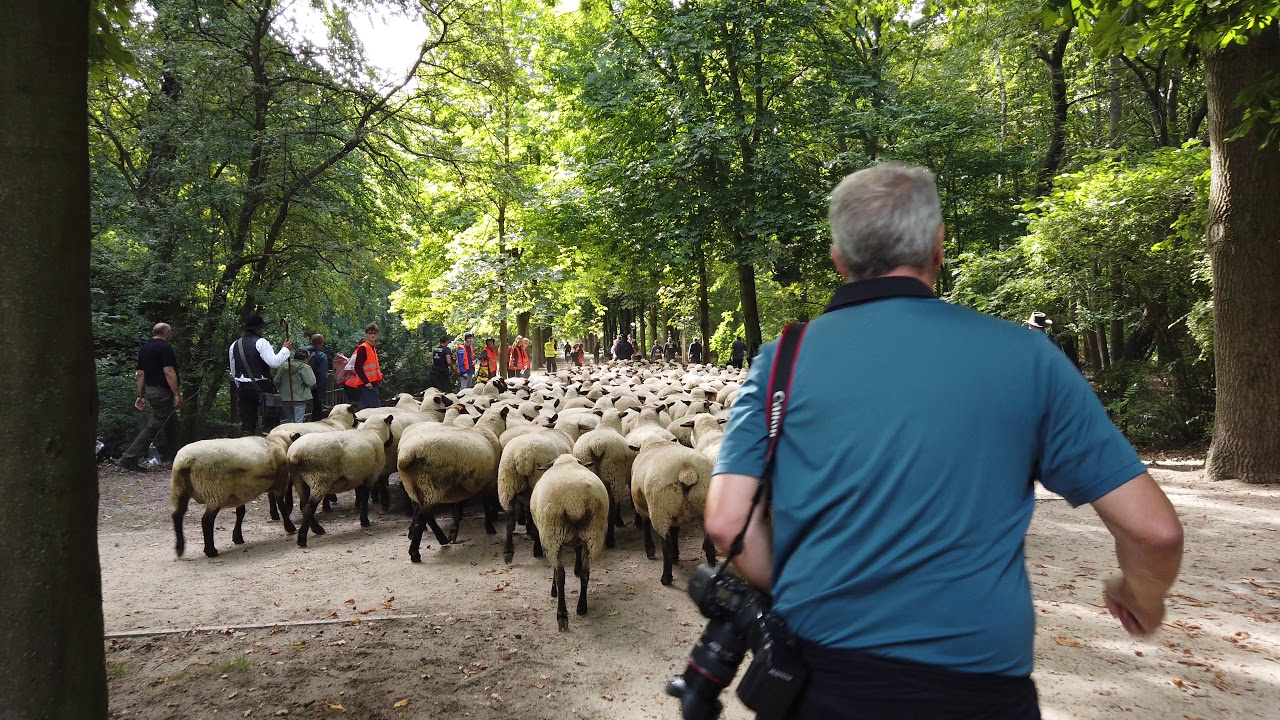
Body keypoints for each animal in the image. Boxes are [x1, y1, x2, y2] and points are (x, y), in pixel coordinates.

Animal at [288, 415, 394, 548]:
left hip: (299, 481)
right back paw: (302, 538)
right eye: (390, 425)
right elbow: (367, 496)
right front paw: (365, 521)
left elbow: (362, 495)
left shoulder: (359, 476)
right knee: (308, 508)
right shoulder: (372, 474)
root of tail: (295, 455)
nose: (392, 440)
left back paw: (317, 529)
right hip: (319, 479)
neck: (373, 432)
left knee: (303, 506)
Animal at [398, 407, 509, 561]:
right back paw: (415, 553)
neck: (487, 428)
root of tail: (407, 457)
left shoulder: (458, 486)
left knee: (426, 514)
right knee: (422, 516)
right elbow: (486, 505)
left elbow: (457, 507)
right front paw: (489, 527)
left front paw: (454, 531)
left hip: (414, 488)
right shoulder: (489, 482)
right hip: (430, 485)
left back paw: (442, 539)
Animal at [497, 430, 573, 563]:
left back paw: (508, 552)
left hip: (506, 485)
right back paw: (537, 549)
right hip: (537, 484)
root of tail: (523, 456)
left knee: (509, 522)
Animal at [529, 454, 610, 631]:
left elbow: (555, 570)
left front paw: (553, 590)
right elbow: (577, 553)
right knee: (586, 572)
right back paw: (581, 607)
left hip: (552, 535)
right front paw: (577, 569)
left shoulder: (551, 540)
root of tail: (574, 501)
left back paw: (562, 615)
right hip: (593, 535)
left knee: (561, 575)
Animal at [630, 437, 717, 586]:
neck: (656, 444)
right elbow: (675, 531)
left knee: (666, 545)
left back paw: (666, 578)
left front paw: (650, 550)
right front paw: (676, 555)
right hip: (704, 507)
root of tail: (687, 470)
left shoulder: (640, 506)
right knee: (710, 547)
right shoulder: (675, 515)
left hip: (660, 509)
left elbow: (646, 526)